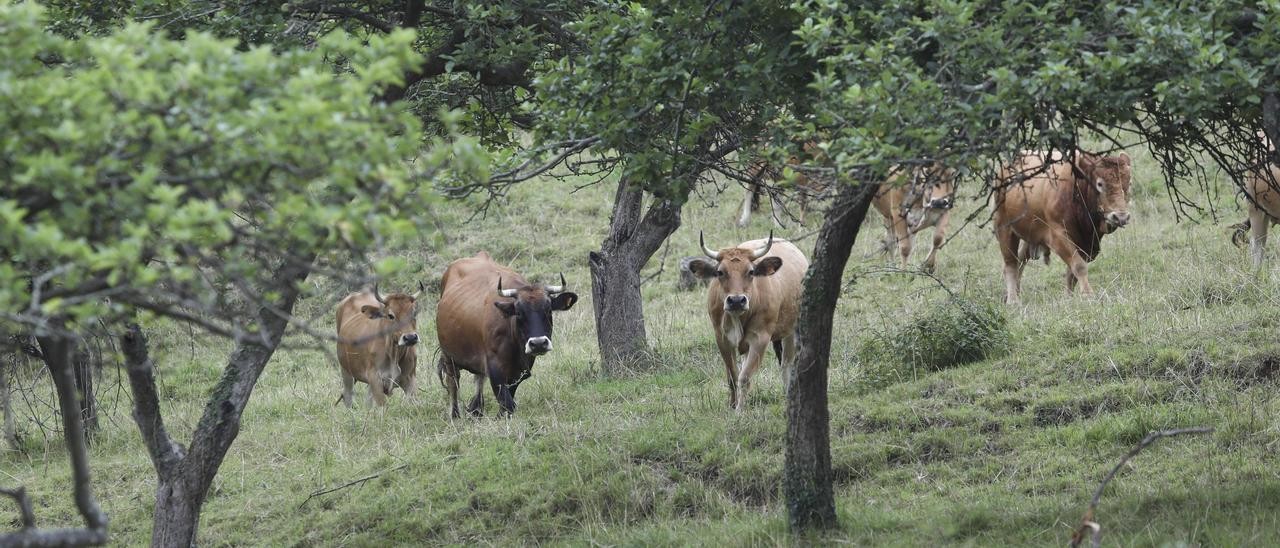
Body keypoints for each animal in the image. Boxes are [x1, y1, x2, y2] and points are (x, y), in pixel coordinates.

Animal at [440, 250, 581, 414]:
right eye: (518, 312)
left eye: (548, 310)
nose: (539, 343)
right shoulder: (494, 369)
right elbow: (507, 404)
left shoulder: (518, 373)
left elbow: (508, 402)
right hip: (448, 357)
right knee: (453, 383)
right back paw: (455, 414)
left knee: (478, 379)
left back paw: (476, 411)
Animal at [691, 231, 808, 409]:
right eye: (720, 272)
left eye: (751, 272)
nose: (736, 300)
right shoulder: (722, 339)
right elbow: (733, 376)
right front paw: (732, 405)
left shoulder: (760, 338)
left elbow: (745, 377)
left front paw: (740, 410)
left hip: (792, 329)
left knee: (786, 363)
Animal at [988, 149, 1131, 303]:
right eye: (1099, 184)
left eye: (1129, 183)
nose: (1121, 217)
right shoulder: (1058, 236)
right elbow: (1079, 266)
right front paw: (1088, 295)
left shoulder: (1087, 244)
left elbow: (1072, 272)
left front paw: (1069, 298)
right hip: (1004, 228)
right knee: (1010, 264)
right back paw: (1013, 300)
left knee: (1020, 259)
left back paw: (1015, 292)